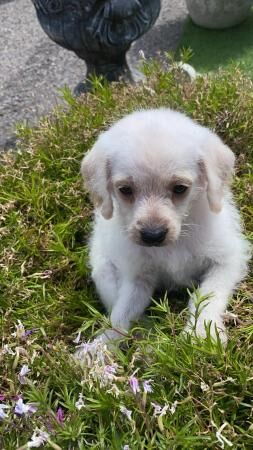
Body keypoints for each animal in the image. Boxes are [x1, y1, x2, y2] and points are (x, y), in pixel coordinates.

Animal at [80, 109, 249, 344]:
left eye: (180, 188)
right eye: (125, 190)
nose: (153, 235)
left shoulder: (227, 261)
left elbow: (208, 294)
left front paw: (201, 333)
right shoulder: (137, 277)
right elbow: (121, 315)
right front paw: (102, 347)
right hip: (104, 271)